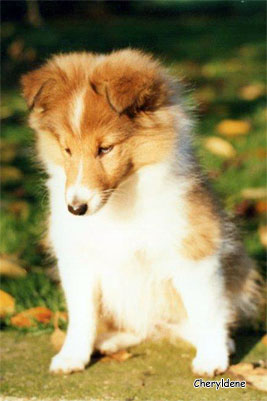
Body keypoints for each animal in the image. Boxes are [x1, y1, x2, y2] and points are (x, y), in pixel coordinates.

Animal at [21, 48, 264, 374]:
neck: (121, 200)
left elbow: (206, 309)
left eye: (105, 148)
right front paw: (72, 357)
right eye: (66, 149)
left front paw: (212, 357)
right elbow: (82, 316)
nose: (75, 208)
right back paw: (110, 341)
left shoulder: (194, 252)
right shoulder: (77, 259)